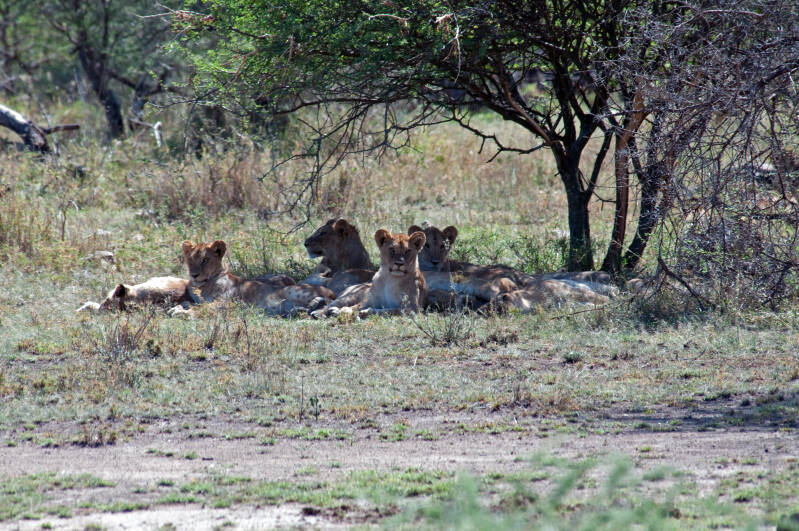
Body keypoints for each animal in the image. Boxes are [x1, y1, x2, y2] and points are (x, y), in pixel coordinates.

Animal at [172, 240, 334, 316]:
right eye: (190, 260)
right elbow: (191, 303)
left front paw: (179, 311)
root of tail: (330, 291)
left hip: (292, 290)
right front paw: (180, 307)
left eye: (205, 260)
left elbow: (202, 308)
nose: (194, 275)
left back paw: (317, 305)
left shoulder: (225, 302)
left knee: (329, 302)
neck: (202, 285)